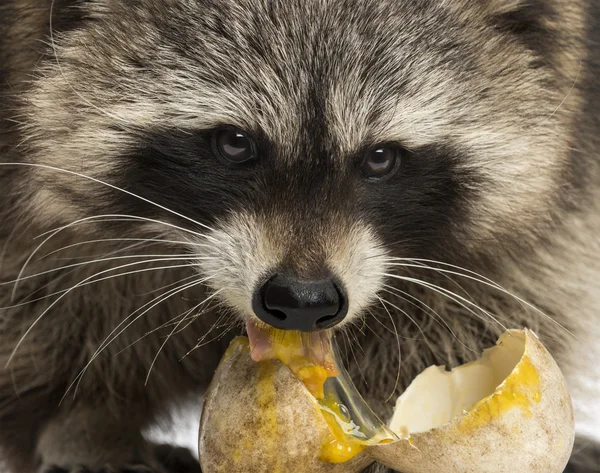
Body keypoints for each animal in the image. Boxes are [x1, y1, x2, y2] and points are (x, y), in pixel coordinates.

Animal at [1, 0, 600, 472]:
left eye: (380, 158)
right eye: (234, 143)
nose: (303, 302)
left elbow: (502, 277)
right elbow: (50, 284)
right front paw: (86, 416)